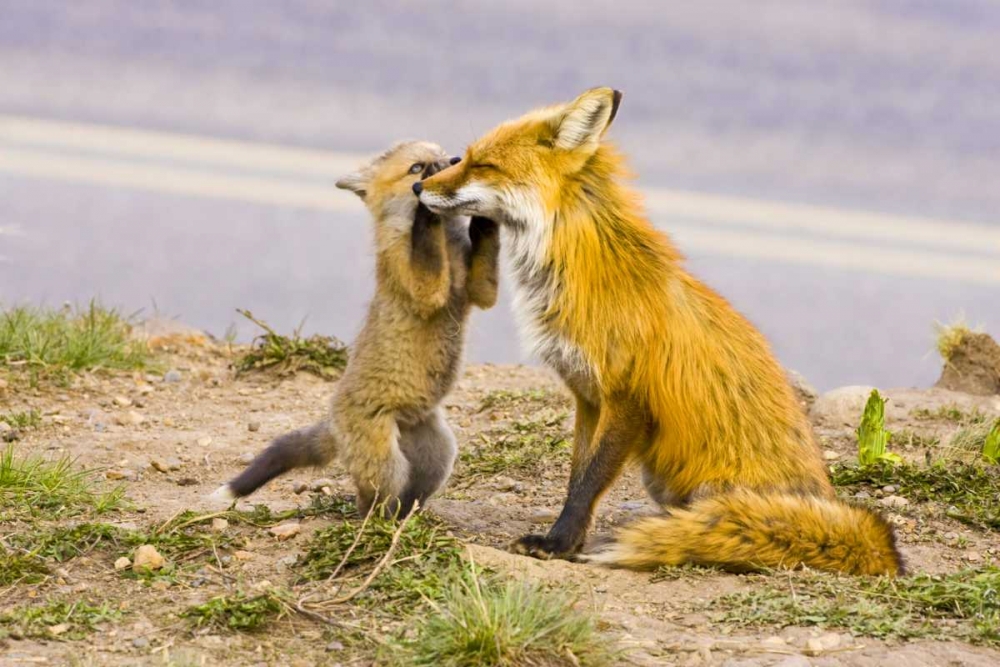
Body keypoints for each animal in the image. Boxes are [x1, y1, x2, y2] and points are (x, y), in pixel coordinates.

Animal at [217, 141, 500, 516]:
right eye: (416, 167)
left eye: (443, 152)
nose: (455, 161)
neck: (447, 244)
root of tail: (334, 425)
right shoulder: (425, 289)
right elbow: (424, 250)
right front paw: (425, 210)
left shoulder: (478, 291)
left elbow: (486, 262)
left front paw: (485, 210)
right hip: (388, 465)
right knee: (368, 501)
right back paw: (376, 523)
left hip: (437, 454)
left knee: (407, 495)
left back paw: (409, 521)